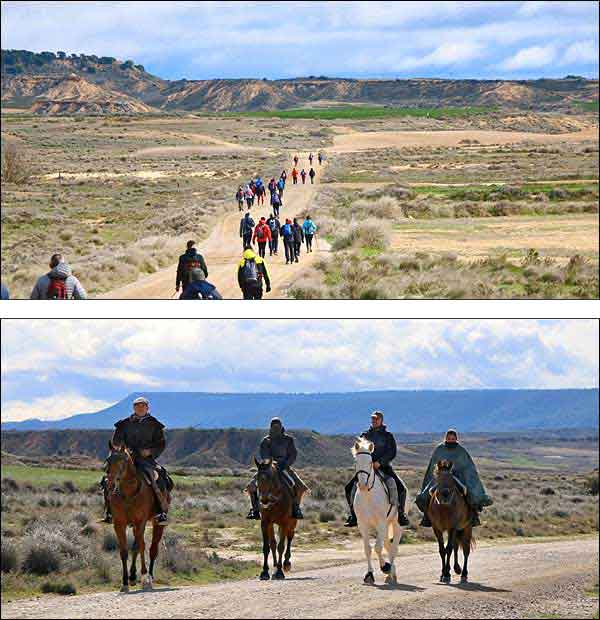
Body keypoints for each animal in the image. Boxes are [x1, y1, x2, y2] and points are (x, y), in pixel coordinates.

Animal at [104, 440, 170, 592]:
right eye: (108, 460)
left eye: (123, 461)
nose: (110, 483)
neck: (128, 493)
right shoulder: (119, 524)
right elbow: (124, 551)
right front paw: (125, 582)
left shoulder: (140, 521)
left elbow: (139, 547)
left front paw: (144, 578)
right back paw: (133, 577)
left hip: (157, 523)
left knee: (152, 549)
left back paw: (149, 577)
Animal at [352, 438, 404, 584]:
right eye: (356, 462)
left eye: (370, 462)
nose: (362, 485)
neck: (368, 495)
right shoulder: (363, 525)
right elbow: (368, 549)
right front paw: (369, 574)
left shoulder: (380, 523)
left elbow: (377, 548)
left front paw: (385, 567)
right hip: (384, 526)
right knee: (387, 544)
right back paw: (391, 573)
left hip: (395, 524)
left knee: (393, 548)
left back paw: (391, 573)